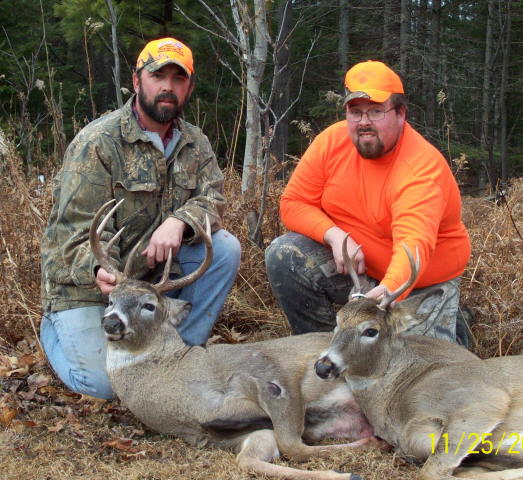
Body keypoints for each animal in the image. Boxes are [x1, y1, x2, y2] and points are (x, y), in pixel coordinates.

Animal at [89, 201, 380, 480]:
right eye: (111, 299)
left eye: (149, 305)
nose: (111, 322)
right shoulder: (226, 435)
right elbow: (249, 459)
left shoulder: (265, 371)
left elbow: (292, 443)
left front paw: (347, 471)